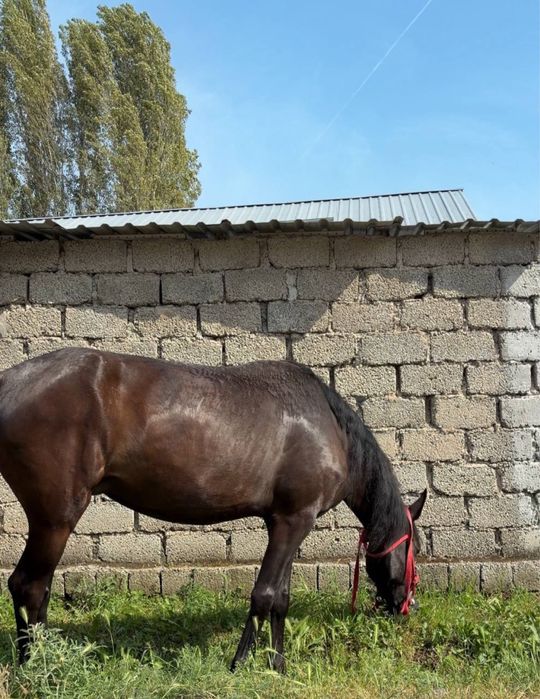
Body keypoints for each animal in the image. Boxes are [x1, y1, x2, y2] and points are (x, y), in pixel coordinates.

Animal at [0, 348, 426, 670]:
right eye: (414, 549)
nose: (406, 606)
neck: (328, 426)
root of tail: (10, 383)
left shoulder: (287, 521)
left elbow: (281, 598)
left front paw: (278, 665)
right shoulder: (293, 522)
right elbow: (264, 594)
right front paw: (240, 663)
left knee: (39, 588)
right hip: (54, 519)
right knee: (28, 586)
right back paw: (37, 667)